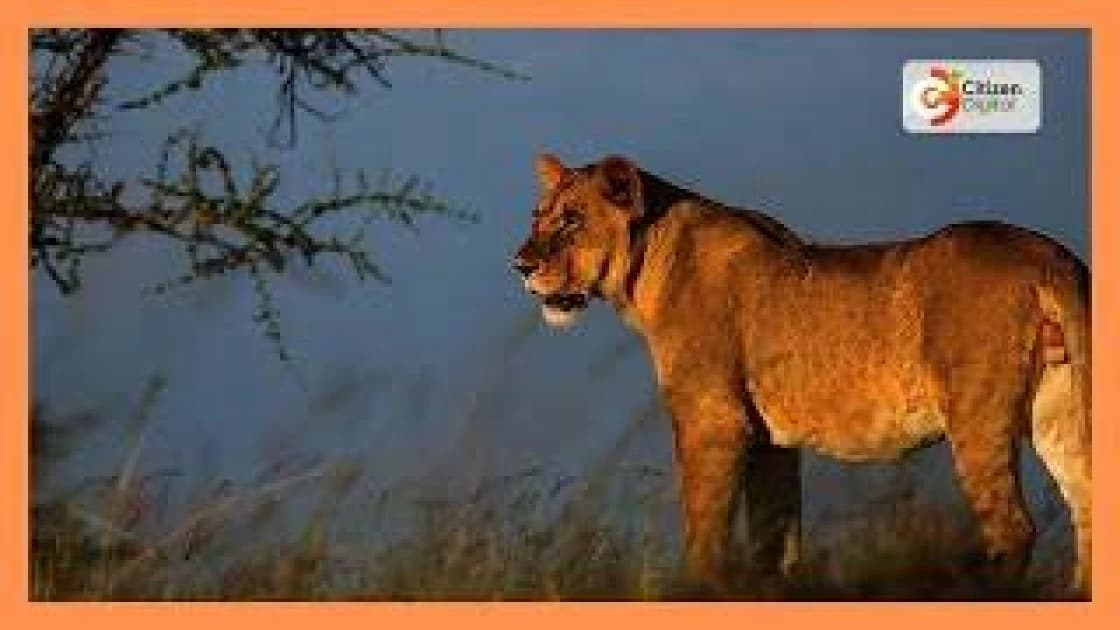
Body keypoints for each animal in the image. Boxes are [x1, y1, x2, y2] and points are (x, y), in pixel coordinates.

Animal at [511, 153, 1091, 596]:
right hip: (1059, 409)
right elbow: (775, 541)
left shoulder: (712, 422)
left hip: (976, 414)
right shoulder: (770, 443)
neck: (649, 265)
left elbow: (705, 533)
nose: (519, 265)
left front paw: (697, 593)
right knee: (1087, 507)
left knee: (1013, 529)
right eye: (538, 216)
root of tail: (1050, 255)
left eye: (571, 219)